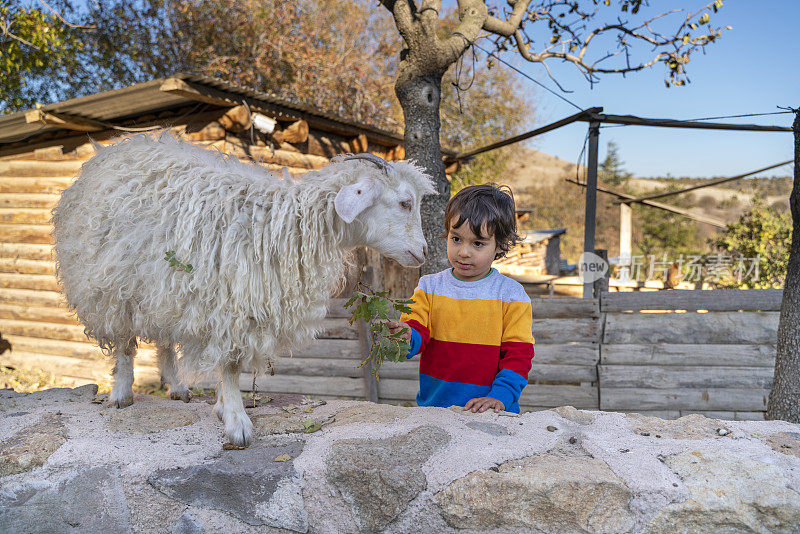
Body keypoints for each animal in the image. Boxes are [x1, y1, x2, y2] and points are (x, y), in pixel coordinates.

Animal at [51, 134, 432, 448]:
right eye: (405, 203)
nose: (423, 253)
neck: (280, 224)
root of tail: (114, 150)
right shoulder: (231, 304)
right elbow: (231, 366)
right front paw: (237, 423)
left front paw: (222, 406)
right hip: (111, 284)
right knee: (124, 341)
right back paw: (121, 393)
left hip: (162, 286)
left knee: (164, 339)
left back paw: (177, 387)